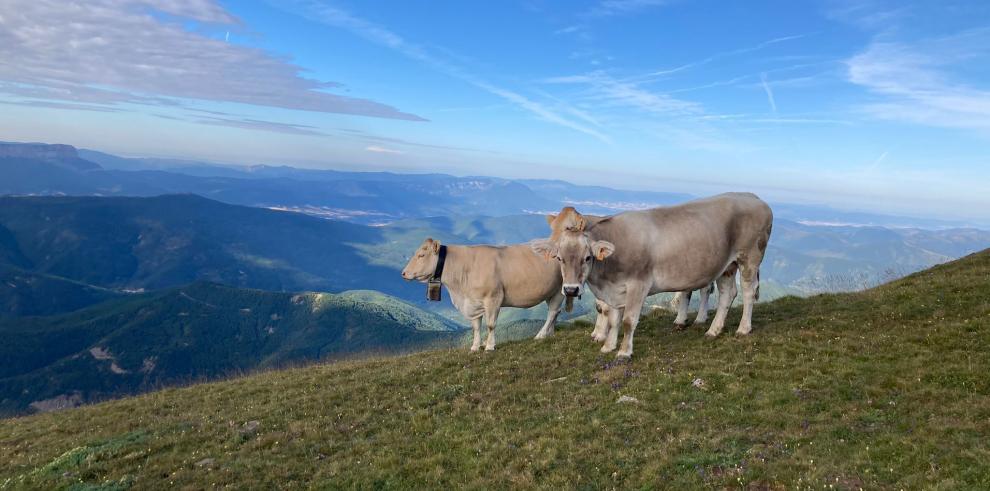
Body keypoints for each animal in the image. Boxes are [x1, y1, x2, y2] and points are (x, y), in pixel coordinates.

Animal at [402, 237, 564, 350]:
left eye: (421, 255)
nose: (403, 273)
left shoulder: (493, 298)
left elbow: (491, 325)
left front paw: (489, 346)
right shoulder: (473, 302)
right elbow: (476, 326)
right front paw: (475, 347)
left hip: (561, 288)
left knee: (552, 312)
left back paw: (541, 335)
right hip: (551, 290)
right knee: (555, 312)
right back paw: (549, 334)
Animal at [536, 194, 776, 360]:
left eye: (587, 257)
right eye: (559, 258)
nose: (570, 290)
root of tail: (755, 198)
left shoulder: (638, 285)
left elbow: (628, 321)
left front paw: (624, 352)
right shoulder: (614, 291)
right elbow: (613, 319)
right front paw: (608, 346)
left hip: (750, 257)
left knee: (748, 292)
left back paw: (743, 328)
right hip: (727, 265)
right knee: (728, 293)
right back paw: (713, 330)